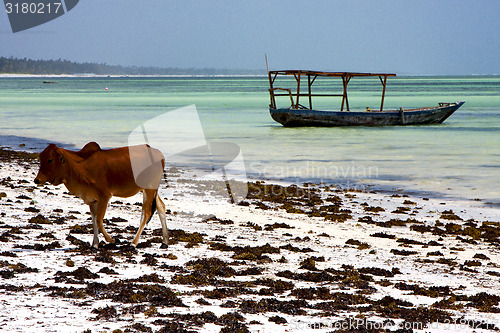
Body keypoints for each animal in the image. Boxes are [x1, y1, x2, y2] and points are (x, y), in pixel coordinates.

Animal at [35, 141, 169, 248]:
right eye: (41, 158)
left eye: (50, 159)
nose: (37, 180)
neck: (80, 167)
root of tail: (158, 154)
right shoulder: (91, 199)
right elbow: (94, 220)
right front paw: (95, 244)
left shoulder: (104, 196)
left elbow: (99, 220)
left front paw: (112, 240)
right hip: (149, 189)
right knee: (160, 207)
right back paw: (165, 242)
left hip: (149, 188)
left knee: (146, 213)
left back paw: (133, 243)